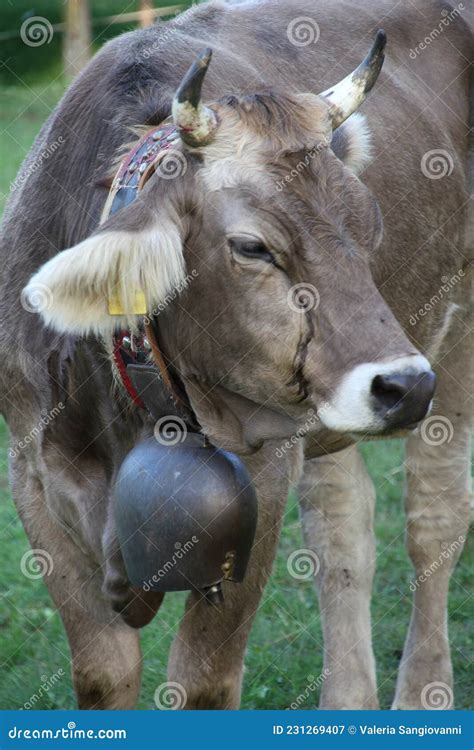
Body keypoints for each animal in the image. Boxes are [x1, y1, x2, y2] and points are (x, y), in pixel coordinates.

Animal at [0, 0, 471, 710]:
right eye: (252, 247)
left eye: (370, 226)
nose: (405, 385)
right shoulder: (32, 469)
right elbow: (104, 672)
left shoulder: (263, 478)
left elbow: (203, 682)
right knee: (343, 527)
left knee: (434, 520)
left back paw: (422, 694)